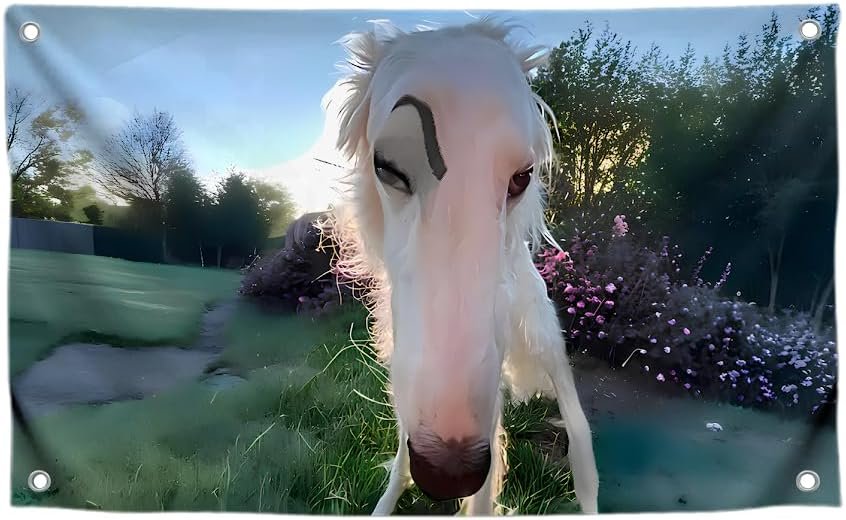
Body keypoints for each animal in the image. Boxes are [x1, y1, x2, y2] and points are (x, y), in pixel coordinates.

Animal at [320, 18, 599, 515]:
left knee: (582, 448)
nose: (449, 473)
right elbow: (402, 459)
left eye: (522, 176)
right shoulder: (407, 374)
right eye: (387, 167)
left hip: (545, 342)